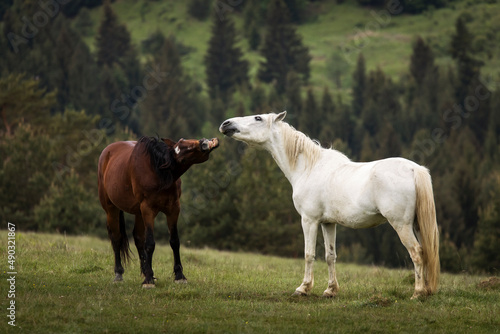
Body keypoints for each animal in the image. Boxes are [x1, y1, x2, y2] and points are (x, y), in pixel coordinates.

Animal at [97, 136, 219, 288]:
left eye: (183, 140)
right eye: (181, 153)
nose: (204, 142)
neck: (158, 171)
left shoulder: (173, 209)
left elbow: (174, 241)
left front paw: (179, 276)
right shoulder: (148, 210)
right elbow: (150, 243)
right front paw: (149, 280)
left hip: (138, 213)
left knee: (138, 238)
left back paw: (145, 271)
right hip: (111, 209)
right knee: (116, 238)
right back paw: (119, 273)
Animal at [221, 111, 440, 298]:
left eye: (258, 118)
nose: (226, 124)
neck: (309, 168)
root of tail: (414, 169)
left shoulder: (309, 220)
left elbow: (309, 254)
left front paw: (303, 288)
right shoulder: (328, 223)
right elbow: (330, 255)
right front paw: (330, 290)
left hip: (401, 225)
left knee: (417, 253)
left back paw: (417, 293)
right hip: (417, 225)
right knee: (426, 252)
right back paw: (426, 291)